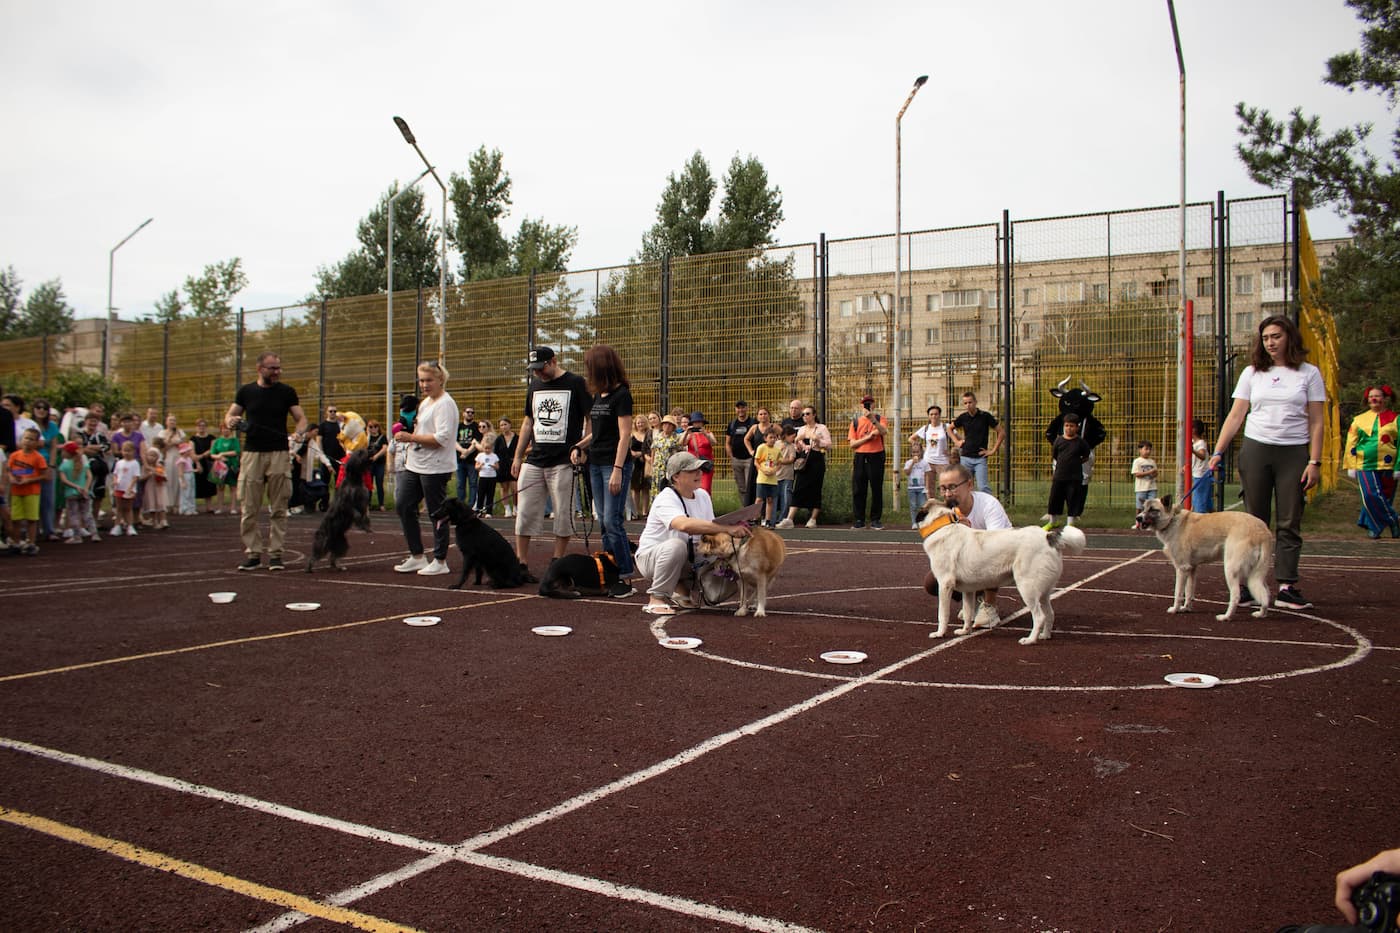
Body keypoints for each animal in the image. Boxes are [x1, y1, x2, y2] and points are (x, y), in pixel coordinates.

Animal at [918, 498, 1080, 644]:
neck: (942, 526)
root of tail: (1048, 536)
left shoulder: (945, 585)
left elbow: (942, 614)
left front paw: (940, 633)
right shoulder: (968, 590)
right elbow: (968, 613)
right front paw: (965, 631)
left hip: (1027, 588)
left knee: (1040, 617)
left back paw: (1030, 640)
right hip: (1043, 593)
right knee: (1050, 614)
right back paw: (1045, 636)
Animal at [1131, 490, 1276, 622]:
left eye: (1153, 510)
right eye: (1143, 509)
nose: (1138, 518)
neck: (1172, 519)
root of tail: (1262, 530)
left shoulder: (1182, 569)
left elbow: (1178, 593)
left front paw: (1175, 609)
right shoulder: (1191, 569)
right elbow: (1189, 592)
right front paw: (1186, 608)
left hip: (1231, 570)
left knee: (1236, 596)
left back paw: (1226, 617)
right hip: (1256, 574)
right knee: (1266, 594)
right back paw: (1261, 614)